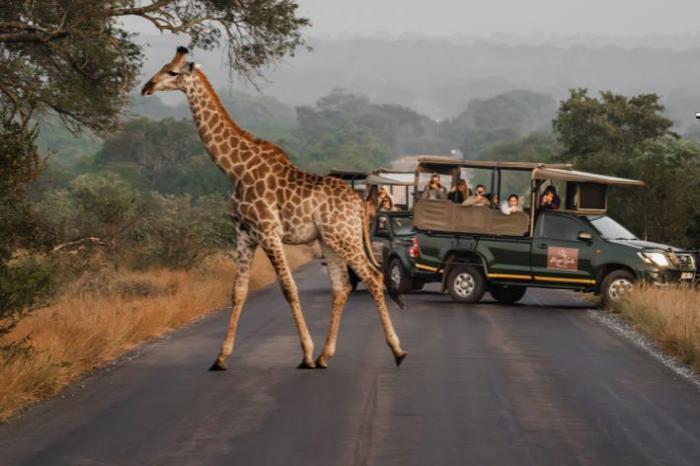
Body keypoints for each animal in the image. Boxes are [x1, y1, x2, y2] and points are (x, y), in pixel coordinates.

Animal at [140, 46, 408, 368]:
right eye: (163, 66)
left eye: (172, 72)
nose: (147, 87)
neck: (234, 170)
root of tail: (359, 203)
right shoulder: (244, 234)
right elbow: (238, 291)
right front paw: (220, 358)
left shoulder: (269, 233)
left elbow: (289, 288)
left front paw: (305, 353)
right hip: (329, 241)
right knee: (341, 286)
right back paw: (325, 355)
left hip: (345, 238)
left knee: (373, 277)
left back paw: (396, 351)